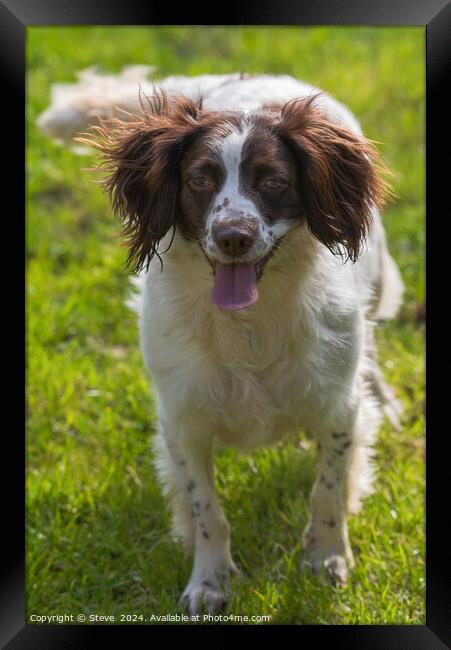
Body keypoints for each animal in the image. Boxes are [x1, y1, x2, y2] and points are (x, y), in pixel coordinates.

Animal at [39, 69, 406, 612]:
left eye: (274, 181)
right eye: (200, 180)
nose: (234, 236)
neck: (248, 323)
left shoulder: (337, 408)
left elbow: (328, 490)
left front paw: (326, 558)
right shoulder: (182, 421)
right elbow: (206, 510)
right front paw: (208, 582)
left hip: (377, 276)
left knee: (372, 340)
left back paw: (383, 394)